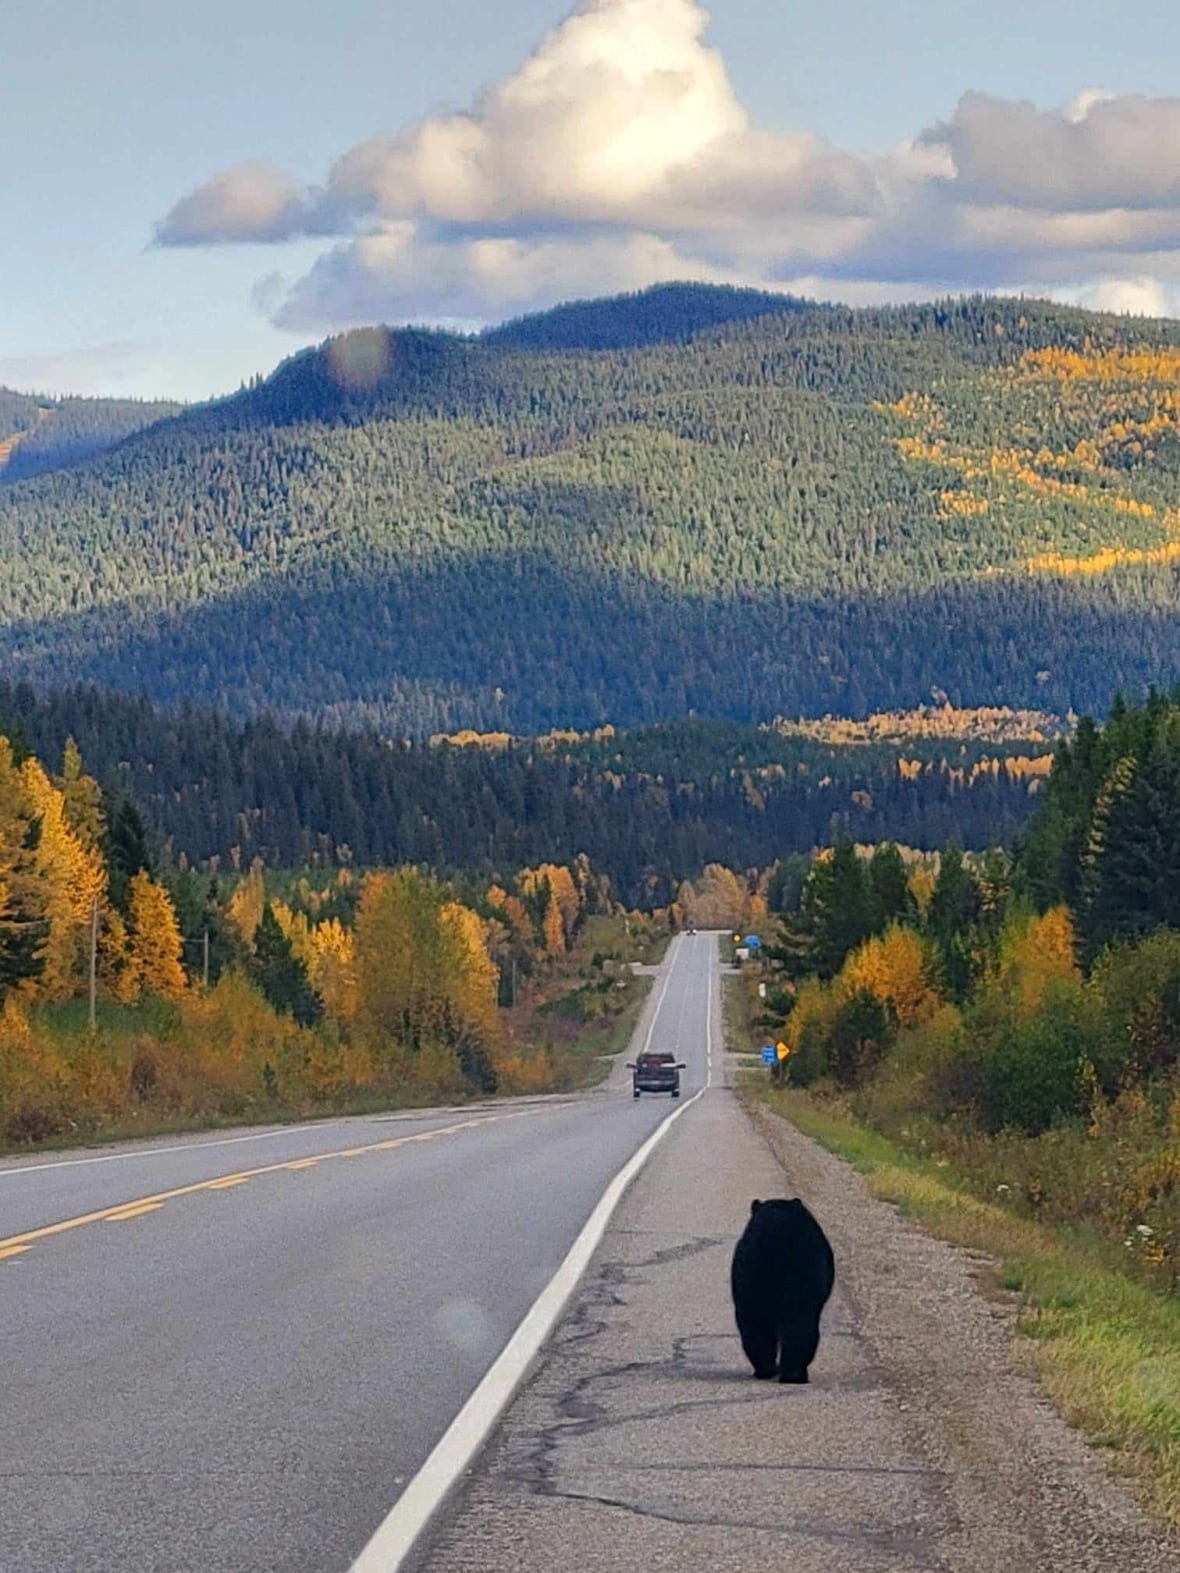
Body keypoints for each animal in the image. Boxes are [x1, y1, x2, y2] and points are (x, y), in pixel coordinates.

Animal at [730, 1197, 835, 1384]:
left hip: (750, 1279)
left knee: (754, 1324)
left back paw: (766, 1370)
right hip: (802, 1278)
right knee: (801, 1325)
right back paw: (794, 1374)